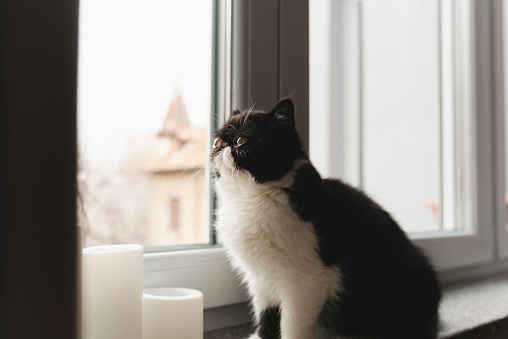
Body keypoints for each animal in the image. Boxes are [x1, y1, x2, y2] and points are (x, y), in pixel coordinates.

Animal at [210, 99, 440, 339]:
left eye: (241, 141)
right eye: (217, 141)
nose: (221, 148)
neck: (249, 198)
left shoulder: (307, 279)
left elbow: (292, 325)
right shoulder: (260, 278)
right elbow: (267, 315)